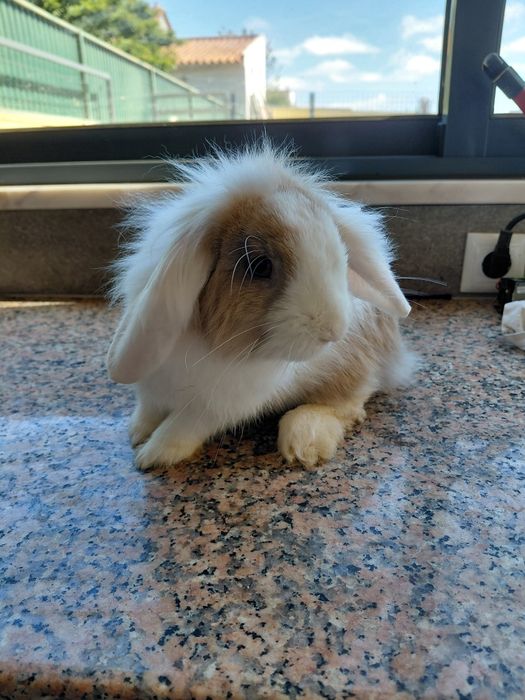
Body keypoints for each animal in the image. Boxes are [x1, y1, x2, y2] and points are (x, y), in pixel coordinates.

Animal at [107, 144, 415, 470]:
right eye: (260, 266)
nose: (333, 331)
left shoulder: (216, 406)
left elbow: (183, 426)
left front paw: (152, 455)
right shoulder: (154, 383)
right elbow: (149, 408)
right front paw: (137, 431)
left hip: (353, 366)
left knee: (348, 401)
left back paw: (304, 440)